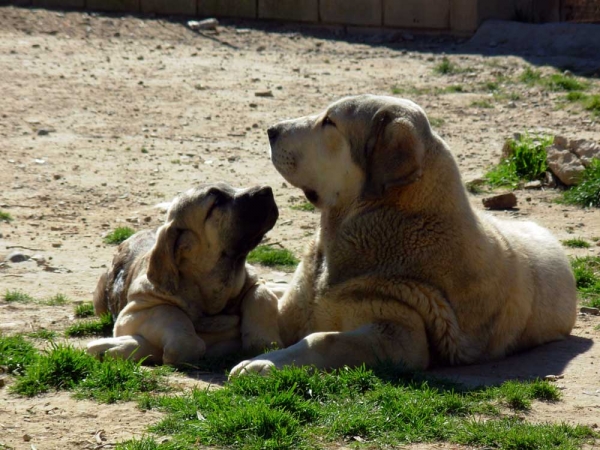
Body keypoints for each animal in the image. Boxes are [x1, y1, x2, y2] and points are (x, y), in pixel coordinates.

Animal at [88, 183, 284, 366]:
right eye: (217, 202)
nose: (266, 189)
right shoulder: (134, 311)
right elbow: (174, 319)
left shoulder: (254, 282)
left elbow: (260, 298)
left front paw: (261, 338)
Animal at [230, 95, 576, 376]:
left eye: (330, 121)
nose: (271, 130)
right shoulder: (294, 306)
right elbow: (262, 300)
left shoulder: (402, 338)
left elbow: (321, 340)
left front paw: (264, 363)